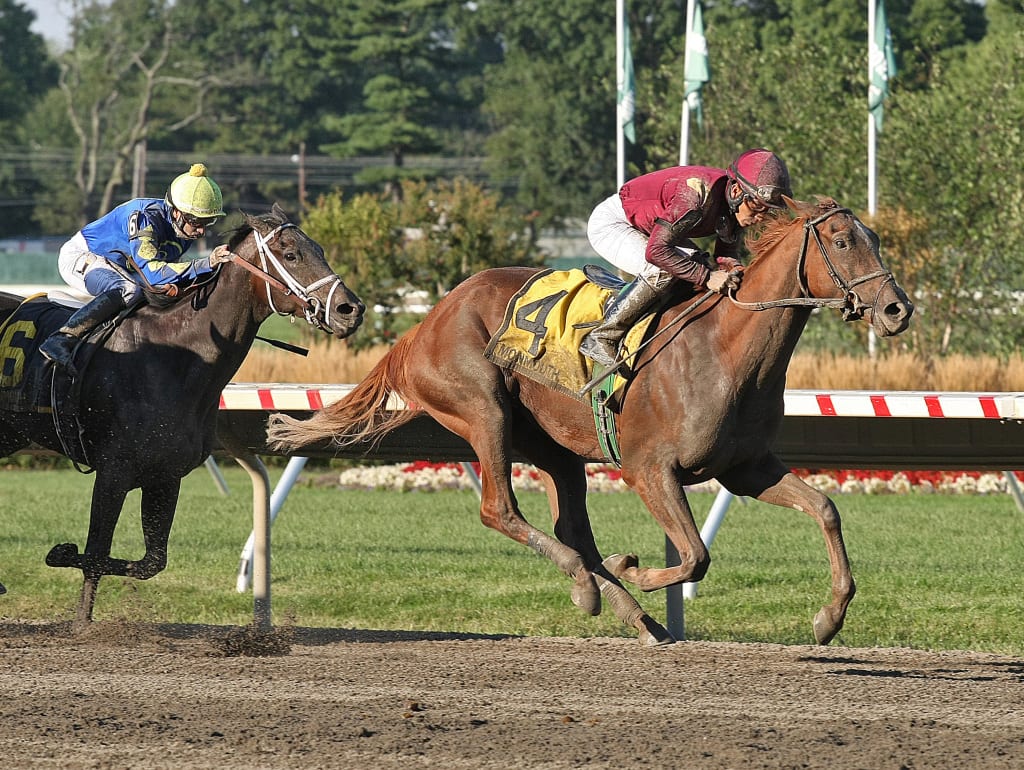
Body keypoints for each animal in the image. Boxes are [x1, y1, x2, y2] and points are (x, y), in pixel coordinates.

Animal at [1, 202, 364, 626]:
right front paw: (77, 608)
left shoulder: (166, 475)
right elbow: (94, 556)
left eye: (319, 248)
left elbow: (151, 561)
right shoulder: (113, 471)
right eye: (291, 254)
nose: (350, 310)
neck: (175, 355)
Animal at [266, 196, 913, 643]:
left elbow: (824, 509)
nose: (896, 309)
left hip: (554, 446)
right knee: (501, 510)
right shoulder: (650, 469)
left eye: (875, 237)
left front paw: (829, 617)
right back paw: (589, 586)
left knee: (571, 528)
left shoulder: (745, 467)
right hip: (482, 409)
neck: (724, 349)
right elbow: (695, 556)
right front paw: (641, 569)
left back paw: (629, 610)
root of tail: (425, 322)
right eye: (841, 241)